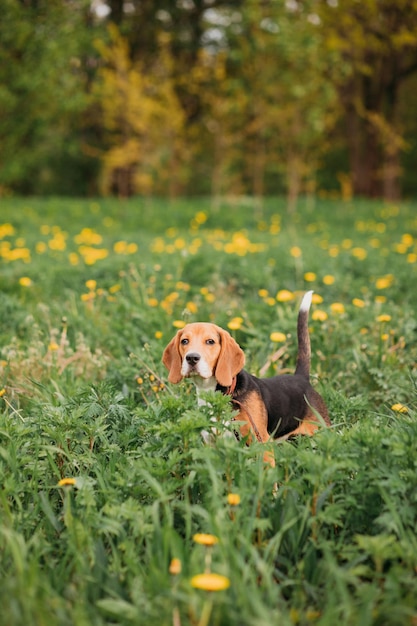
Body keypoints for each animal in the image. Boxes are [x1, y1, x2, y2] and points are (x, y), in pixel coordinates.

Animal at [162, 288, 328, 458]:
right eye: (184, 341)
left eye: (210, 341)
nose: (192, 358)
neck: (220, 392)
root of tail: (301, 378)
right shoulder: (212, 443)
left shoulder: (260, 440)